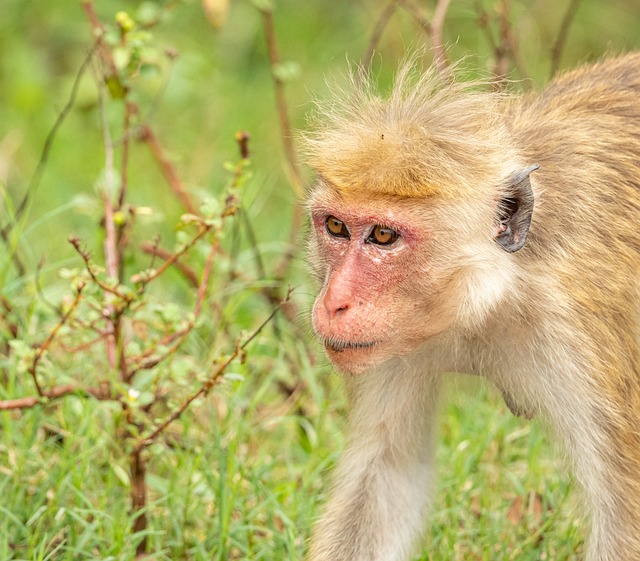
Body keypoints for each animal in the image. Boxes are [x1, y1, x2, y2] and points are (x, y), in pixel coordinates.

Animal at [302, 53, 640, 560]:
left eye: (383, 236)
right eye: (336, 227)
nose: (334, 302)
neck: (497, 294)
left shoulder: (585, 332)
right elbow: (385, 476)